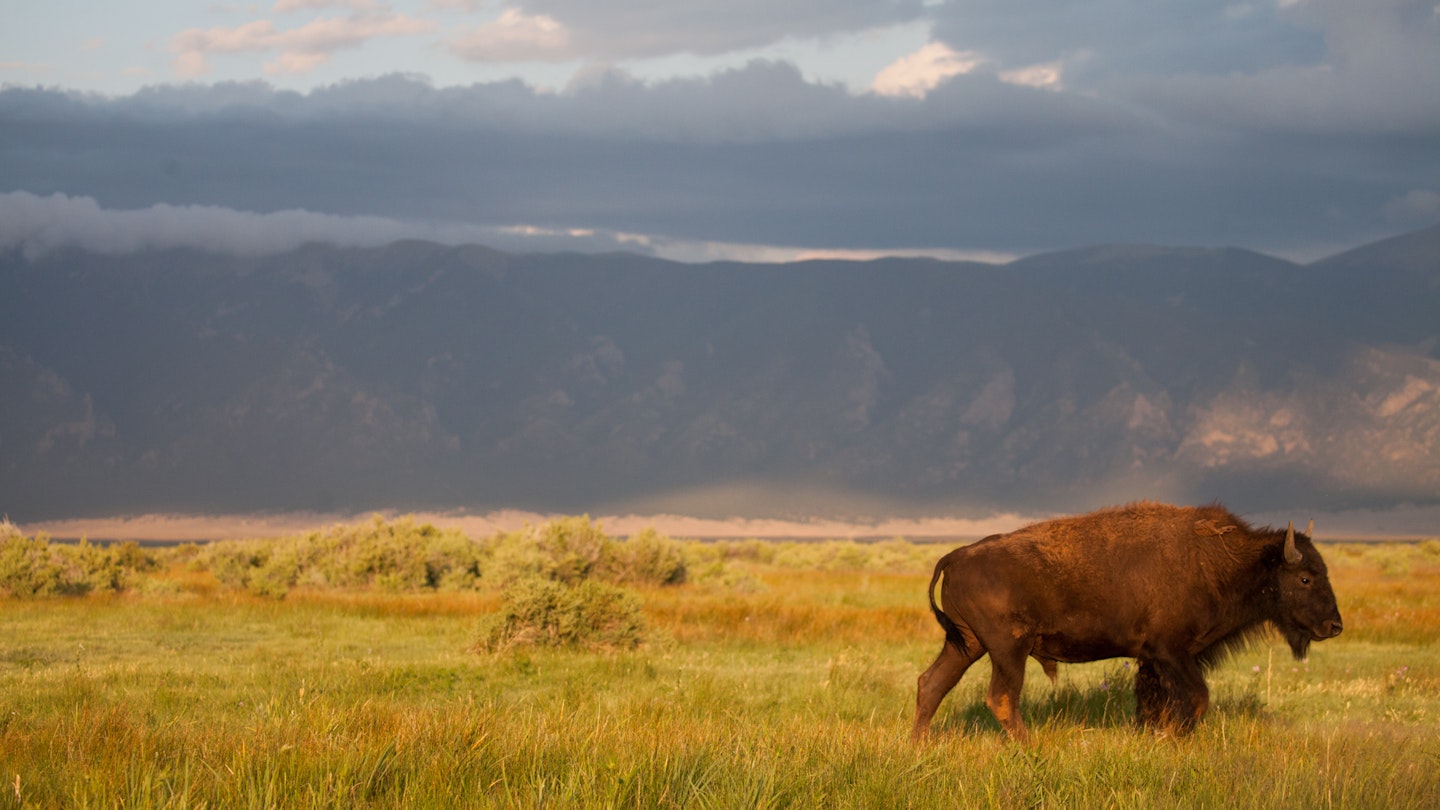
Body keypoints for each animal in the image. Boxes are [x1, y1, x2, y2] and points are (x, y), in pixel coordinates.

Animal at [915, 501, 1342, 743]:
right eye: (1305, 578)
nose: (1334, 626)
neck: (1222, 562)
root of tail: (956, 555)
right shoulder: (1170, 652)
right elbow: (1197, 698)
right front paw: (1170, 739)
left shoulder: (1153, 661)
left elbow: (1155, 703)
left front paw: (1153, 735)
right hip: (1008, 648)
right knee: (1001, 697)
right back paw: (1031, 746)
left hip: (966, 644)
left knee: (931, 684)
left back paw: (921, 744)